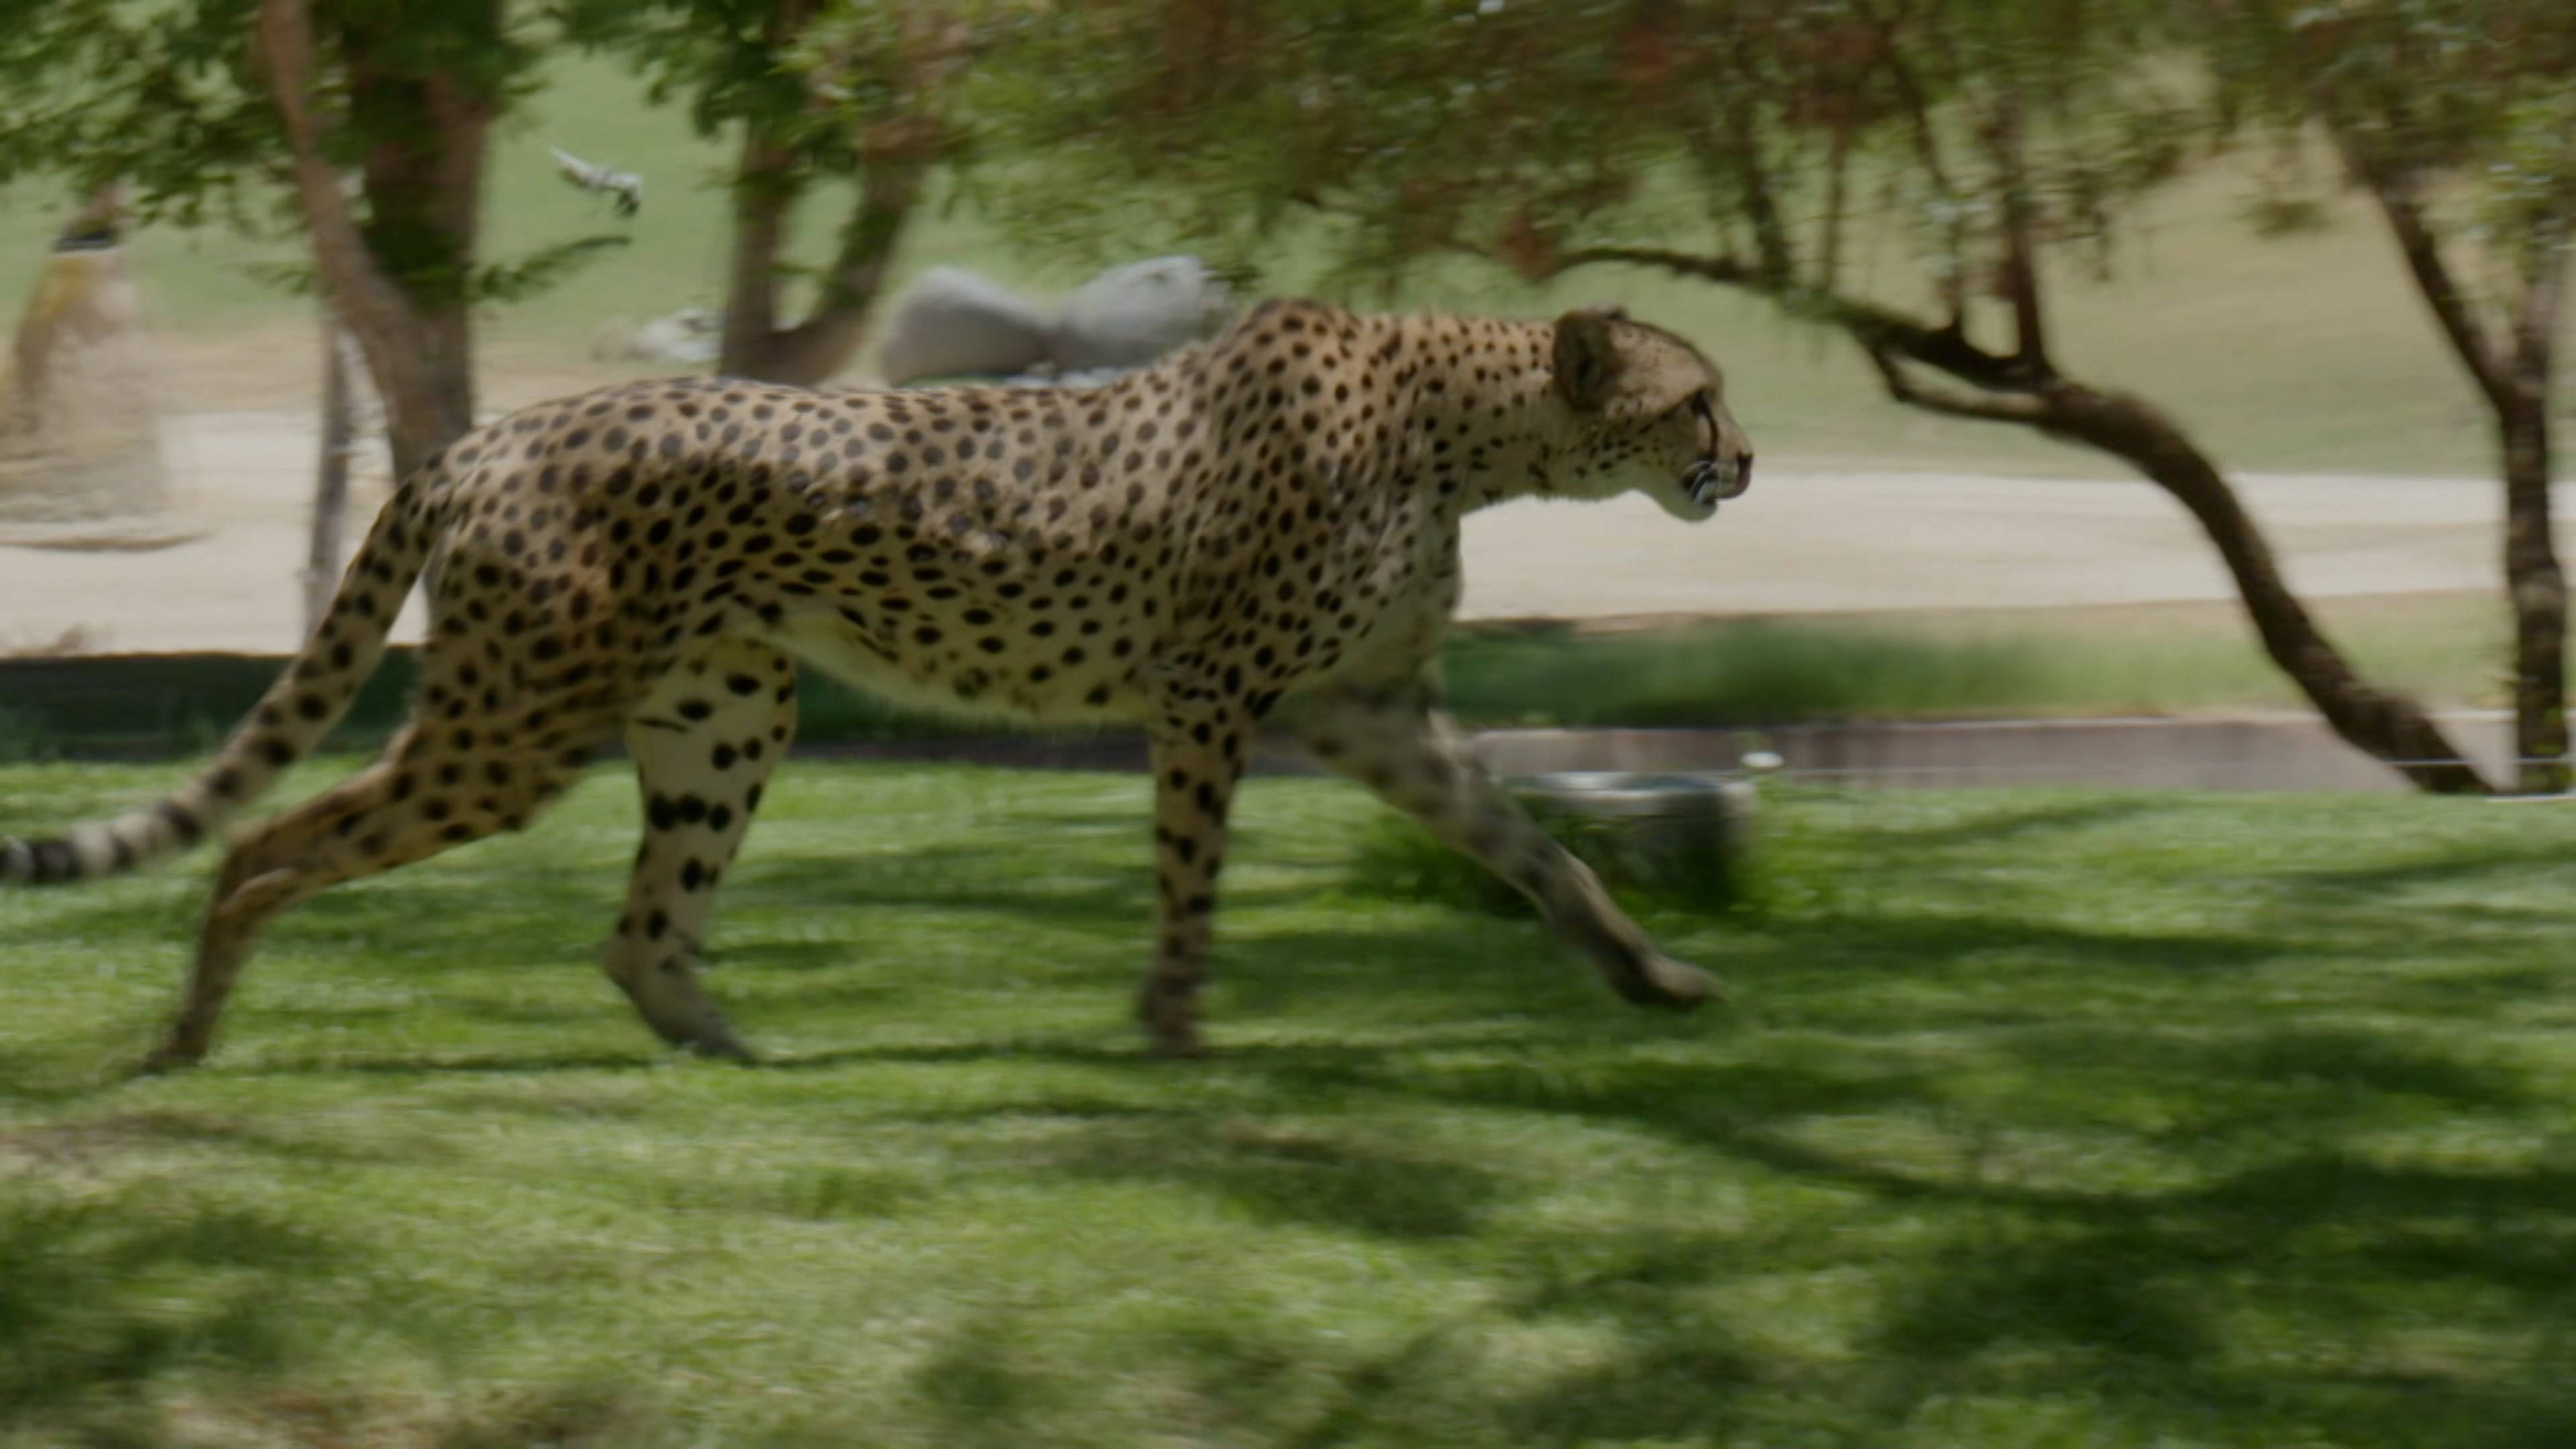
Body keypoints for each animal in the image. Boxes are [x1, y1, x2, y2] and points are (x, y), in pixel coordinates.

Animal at [2, 298, 1755, 1069]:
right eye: (1697, 399)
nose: (1742, 461)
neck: (1469, 428)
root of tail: (488, 435)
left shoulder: (1369, 711)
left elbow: (1541, 852)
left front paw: (1653, 977)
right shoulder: (1208, 695)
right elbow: (1191, 877)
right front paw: (1174, 1023)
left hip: (726, 712)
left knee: (638, 925)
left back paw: (736, 1053)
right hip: (517, 725)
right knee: (259, 842)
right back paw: (189, 1028)